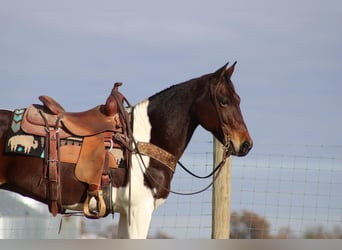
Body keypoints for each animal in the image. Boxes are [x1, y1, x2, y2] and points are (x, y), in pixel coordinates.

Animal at [0, 62, 251, 238]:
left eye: (239, 99)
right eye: (224, 101)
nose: (246, 144)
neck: (143, 141)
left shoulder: (126, 213)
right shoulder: (140, 211)